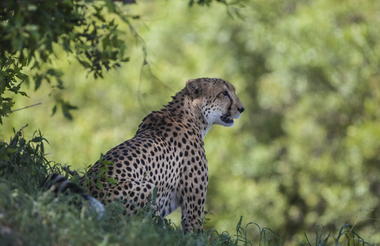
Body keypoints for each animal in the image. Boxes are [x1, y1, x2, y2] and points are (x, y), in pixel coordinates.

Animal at [81, 78, 245, 232]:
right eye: (224, 93)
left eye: (233, 91)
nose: (242, 109)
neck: (192, 116)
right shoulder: (192, 213)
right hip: (148, 188)